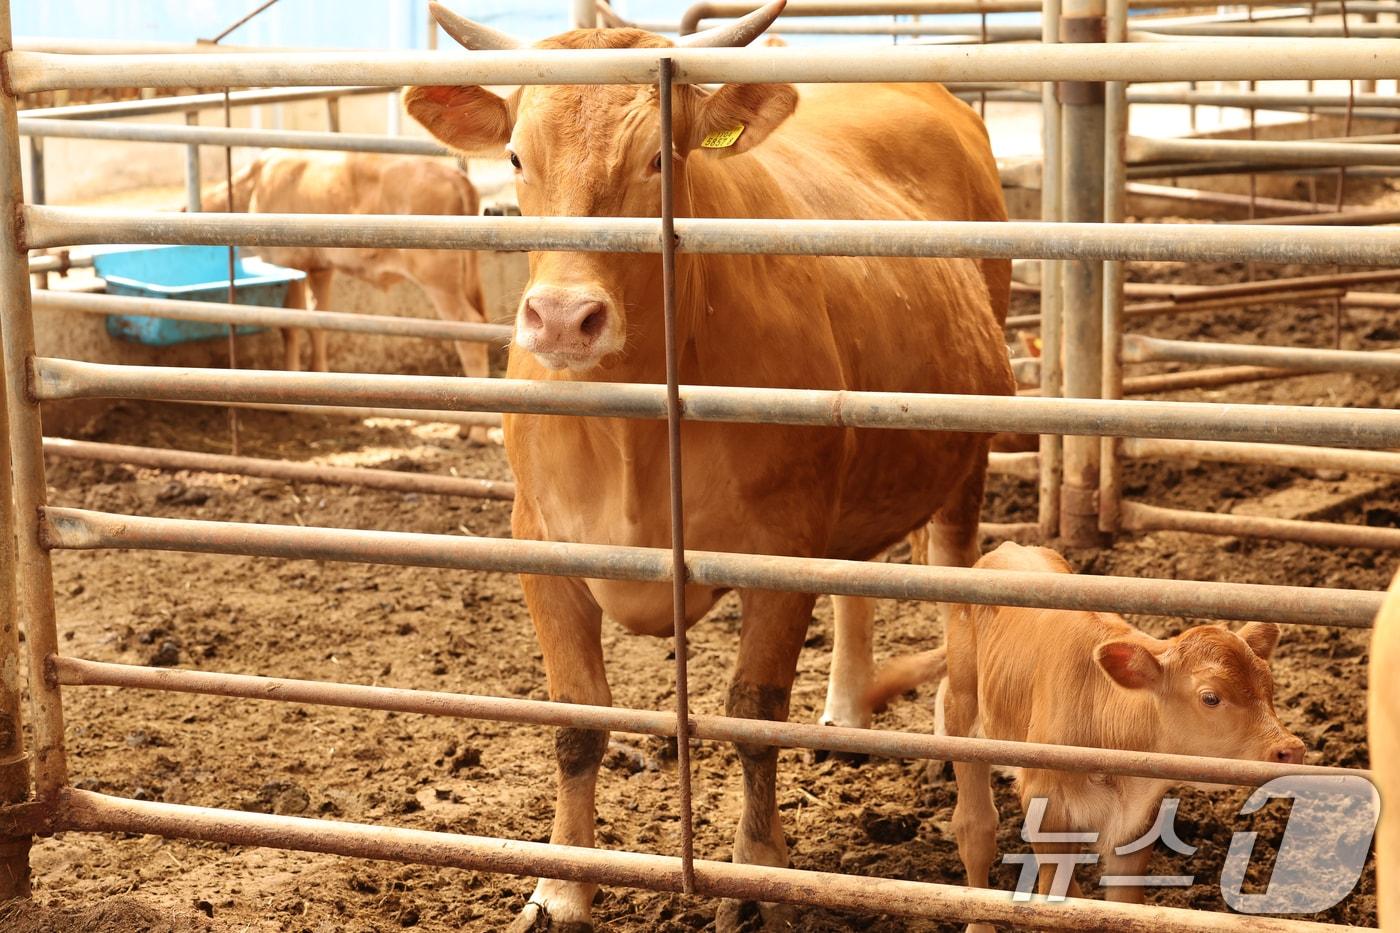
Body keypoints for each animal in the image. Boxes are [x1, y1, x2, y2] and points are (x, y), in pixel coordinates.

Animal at [408, 3, 1013, 924]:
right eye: (515, 156)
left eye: (661, 157)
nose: (562, 318)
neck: (634, 429)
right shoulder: (540, 544)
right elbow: (578, 720)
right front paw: (563, 884)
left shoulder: (781, 546)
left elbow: (752, 712)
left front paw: (756, 869)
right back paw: (845, 712)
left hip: (963, 458)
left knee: (951, 598)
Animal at [918, 537, 1299, 924]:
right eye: (1210, 697)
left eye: (1270, 686)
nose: (1290, 748)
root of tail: (1010, 547)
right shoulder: (1045, 804)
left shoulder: (1138, 820)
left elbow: (1123, 905)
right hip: (962, 707)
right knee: (975, 828)